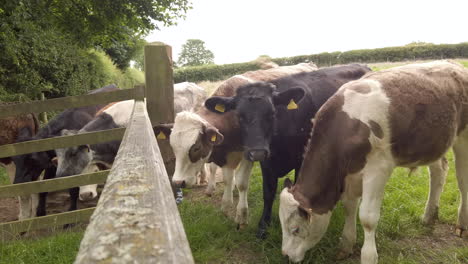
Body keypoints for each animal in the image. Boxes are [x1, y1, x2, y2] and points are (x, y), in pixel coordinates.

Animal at [11, 83, 119, 218]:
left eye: (32, 159)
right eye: (14, 160)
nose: (17, 184)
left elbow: (73, 189)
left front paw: (72, 212)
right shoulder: (53, 164)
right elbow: (44, 188)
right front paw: (41, 212)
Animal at [155, 62, 320, 227]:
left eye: (196, 147)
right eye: (173, 147)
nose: (178, 182)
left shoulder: (249, 153)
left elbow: (241, 183)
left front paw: (241, 215)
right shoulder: (226, 154)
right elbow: (227, 179)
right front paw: (226, 205)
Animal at [205, 63, 372, 237]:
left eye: (272, 113)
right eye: (239, 115)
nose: (256, 152)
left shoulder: (302, 159)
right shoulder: (267, 161)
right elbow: (268, 192)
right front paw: (263, 225)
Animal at [278, 60, 468, 264]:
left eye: (295, 229)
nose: (286, 255)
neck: (347, 126)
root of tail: (453, 64)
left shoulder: (378, 169)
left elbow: (367, 217)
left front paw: (368, 256)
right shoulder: (351, 173)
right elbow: (349, 207)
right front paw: (346, 244)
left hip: (463, 138)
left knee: (462, 179)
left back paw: (462, 224)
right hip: (434, 141)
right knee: (439, 171)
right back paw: (429, 216)